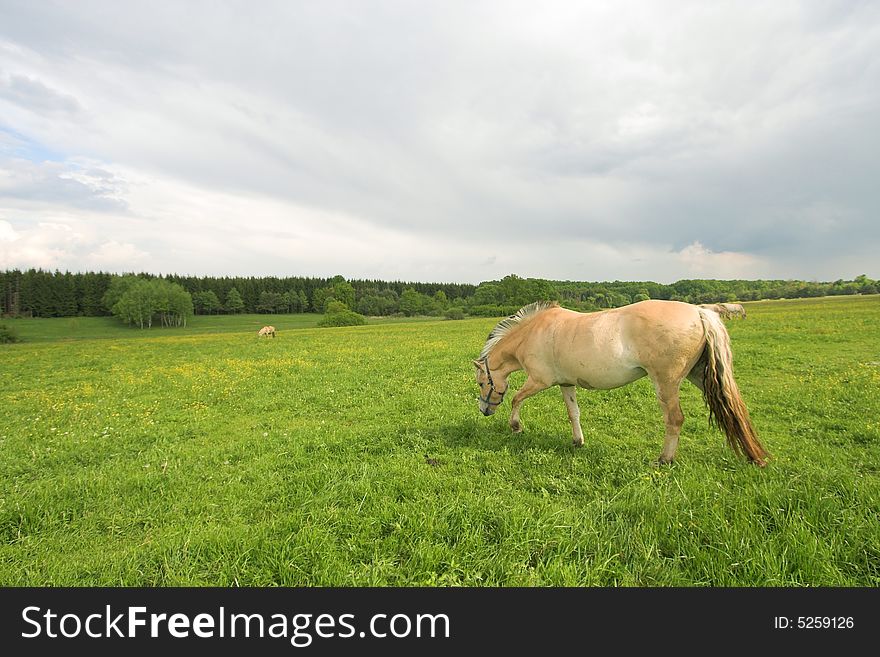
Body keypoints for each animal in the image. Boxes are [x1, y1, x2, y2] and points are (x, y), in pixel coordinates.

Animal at [470, 300, 768, 464]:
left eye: (482, 384)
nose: (484, 411)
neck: (533, 332)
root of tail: (699, 312)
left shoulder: (539, 381)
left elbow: (516, 398)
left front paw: (516, 427)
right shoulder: (566, 384)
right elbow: (573, 413)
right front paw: (577, 441)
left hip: (666, 383)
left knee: (674, 419)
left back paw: (664, 460)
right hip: (701, 376)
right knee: (732, 409)